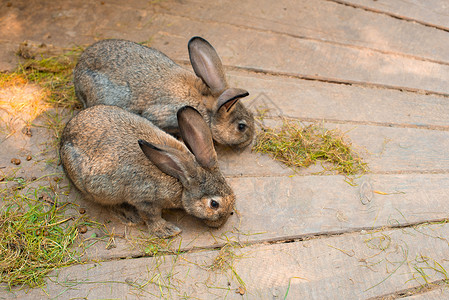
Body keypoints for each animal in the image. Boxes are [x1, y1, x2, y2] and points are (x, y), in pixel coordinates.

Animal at [59, 104, 234, 238]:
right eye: (214, 204)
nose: (221, 223)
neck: (180, 179)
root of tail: (63, 139)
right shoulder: (145, 199)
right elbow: (151, 216)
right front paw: (168, 231)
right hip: (100, 190)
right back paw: (129, 215)